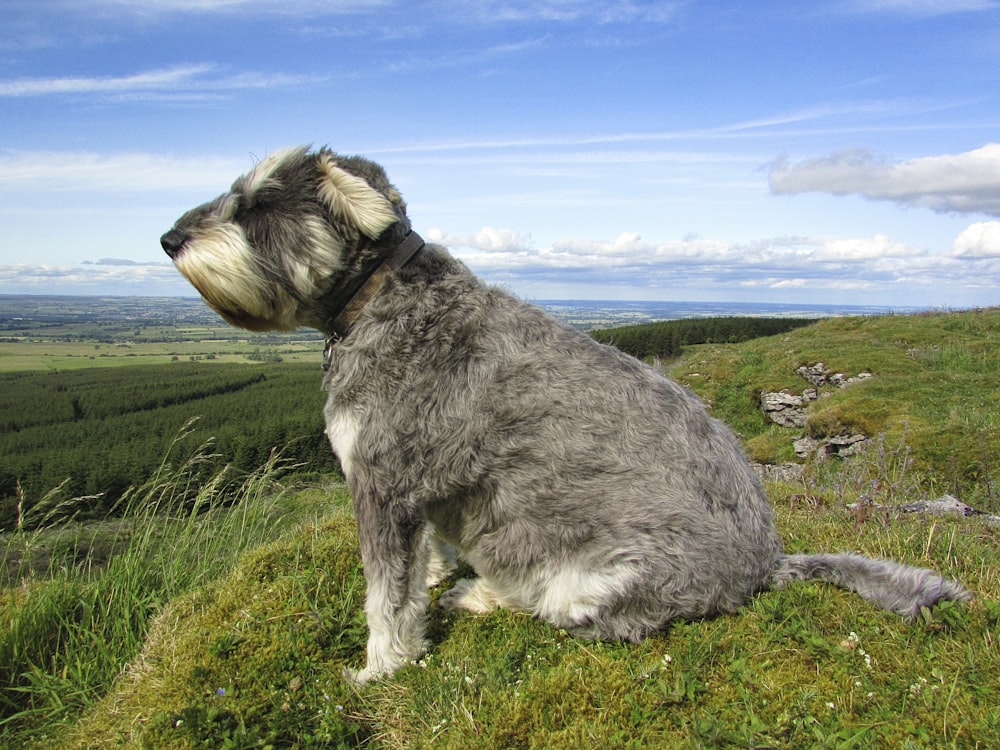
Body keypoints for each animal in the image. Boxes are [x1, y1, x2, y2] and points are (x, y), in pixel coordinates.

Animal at [162, 147, 968, 688]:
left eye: (260, 205)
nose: (170, 239)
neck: (381, 300)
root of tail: (769, 563)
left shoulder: (381, 484)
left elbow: (383, 597)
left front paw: (381, 667)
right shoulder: (412, 493)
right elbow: (415, 566)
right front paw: (428, 587)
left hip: (598, 576)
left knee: (559, 609)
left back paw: (485, 595)